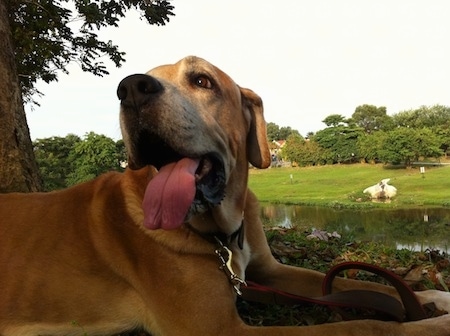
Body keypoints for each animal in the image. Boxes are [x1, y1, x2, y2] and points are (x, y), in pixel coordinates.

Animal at [0, 56, 450, 334]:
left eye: (202, 80)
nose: (129, 88)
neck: (221, 233)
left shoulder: (268, 272)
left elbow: (351, 284)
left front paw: (431, 297)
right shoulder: (218, 328)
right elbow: (363, 325)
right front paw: (431, 323)